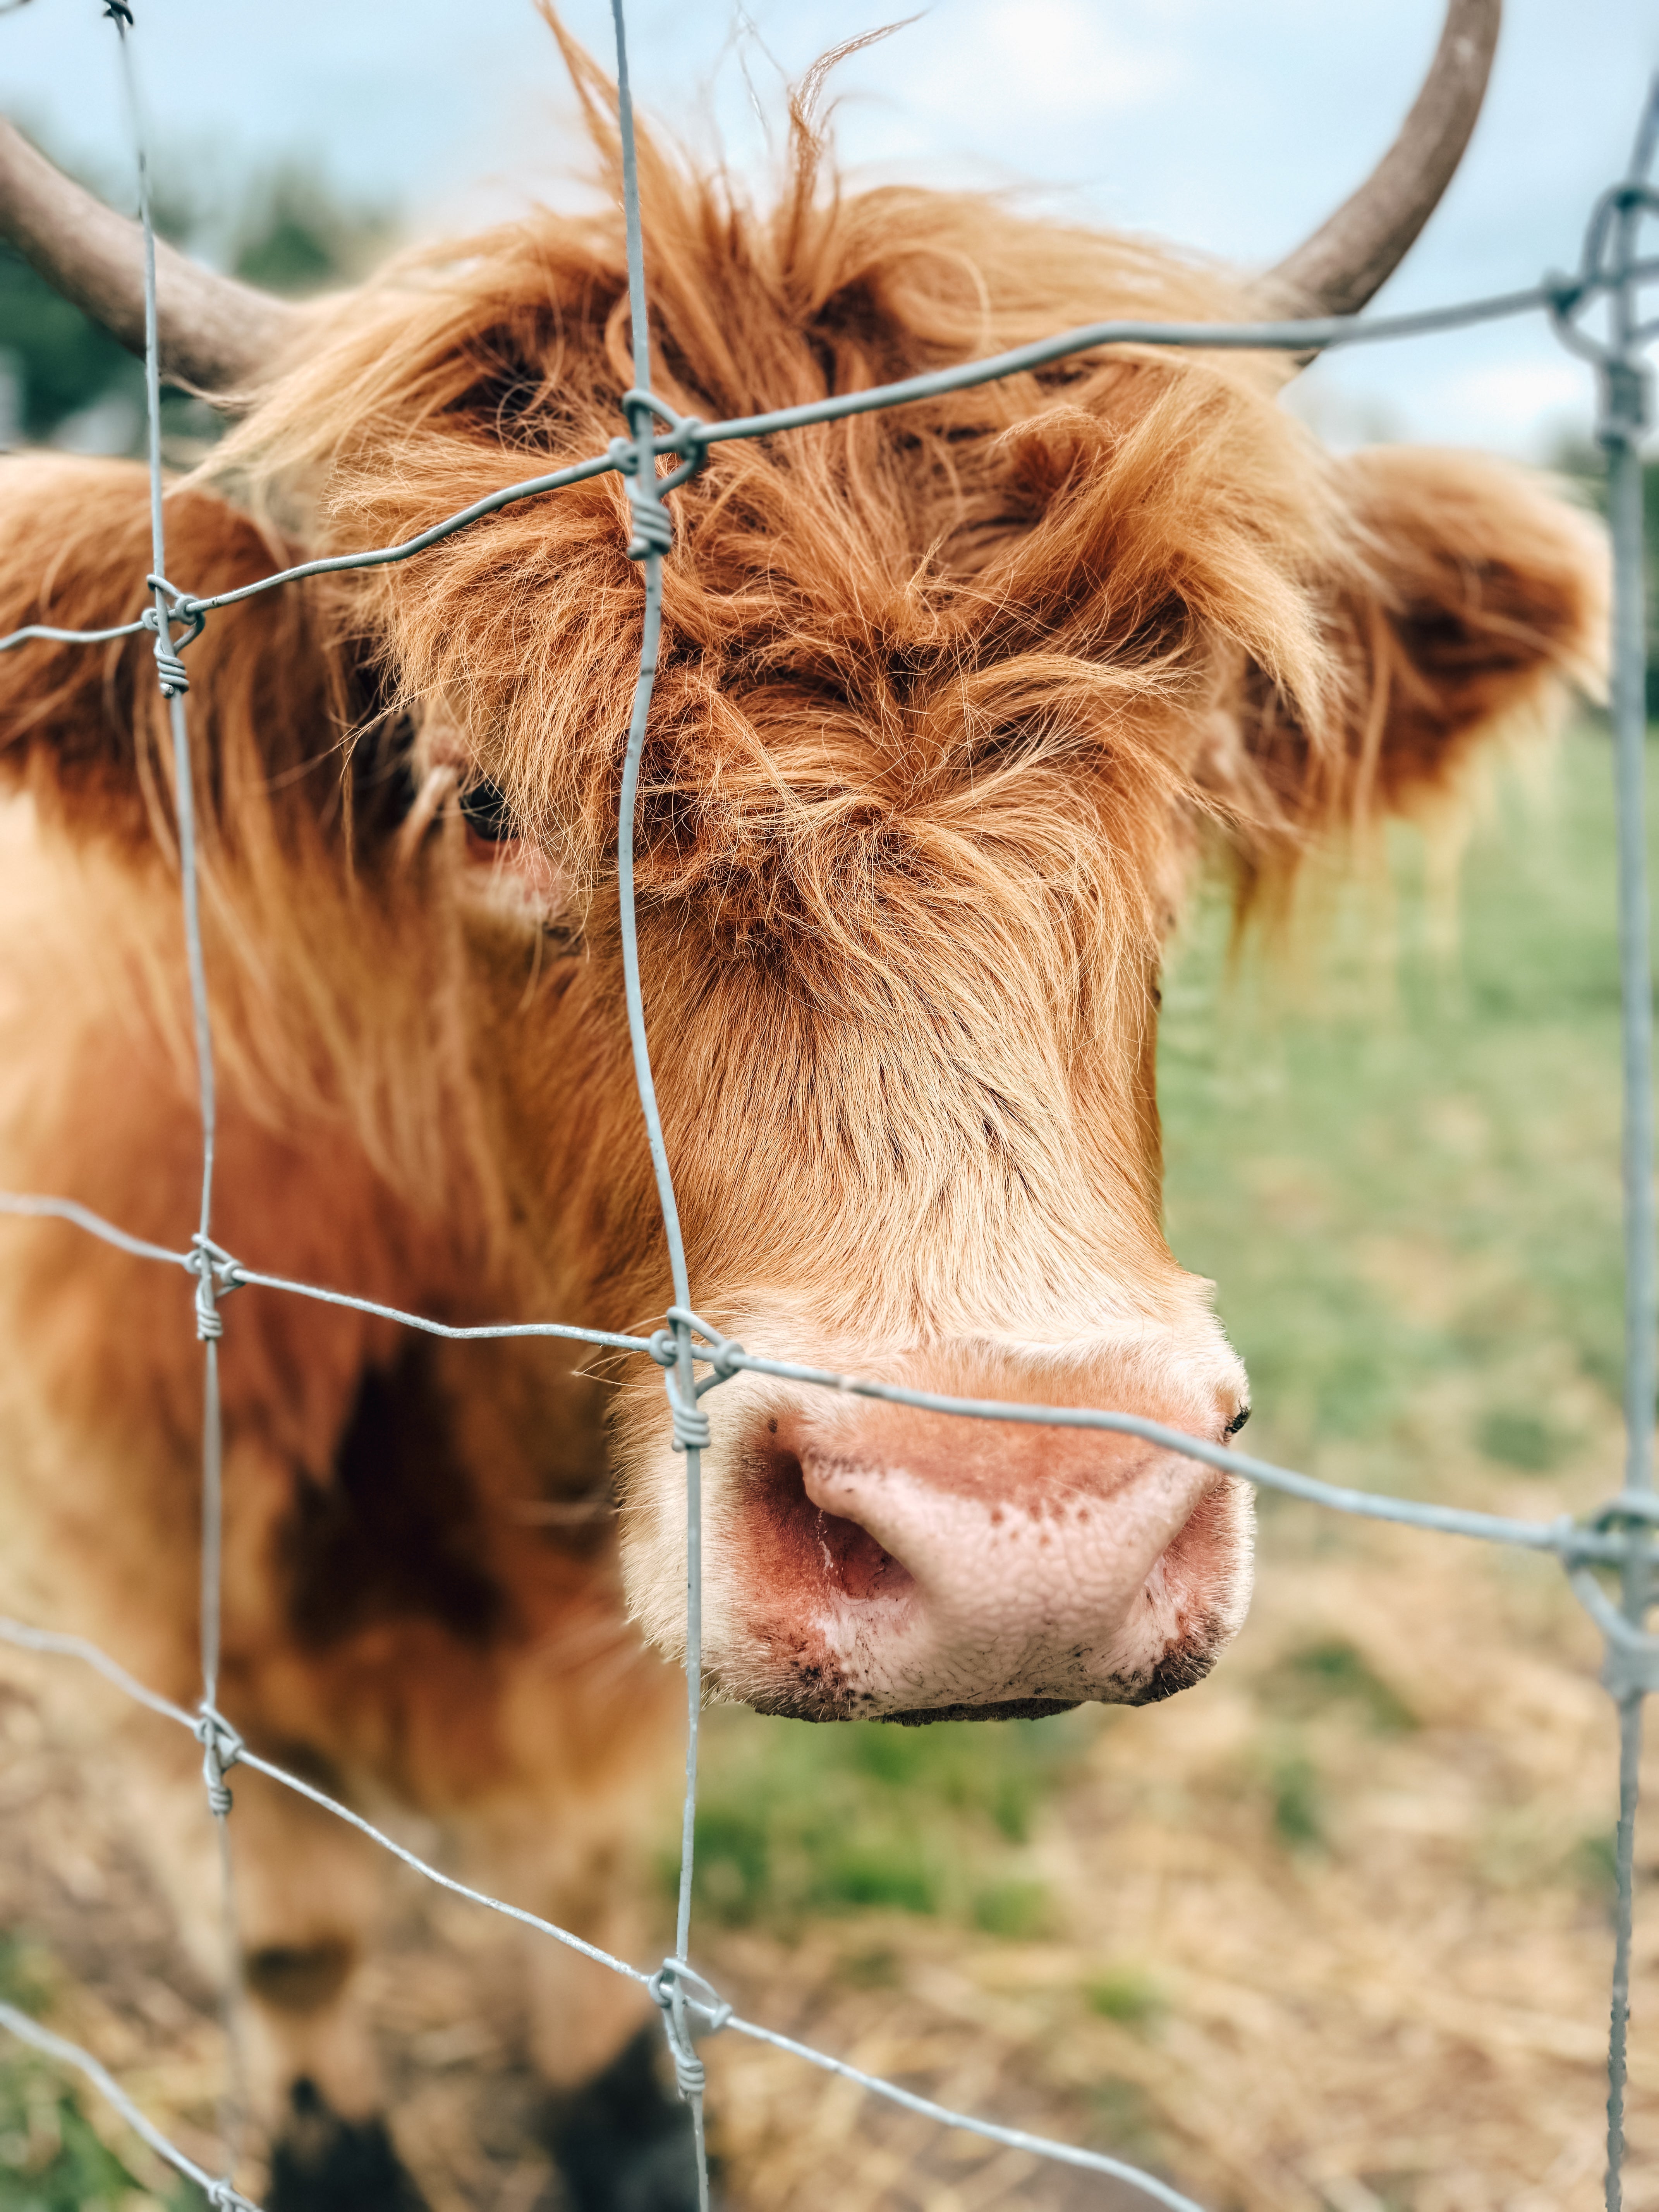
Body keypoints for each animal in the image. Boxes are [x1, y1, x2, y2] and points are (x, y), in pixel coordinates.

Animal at [0, 3, 1605, 2206]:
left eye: (1190, 786)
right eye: (479, 802)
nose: (1028, 1533)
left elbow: (595, 1896)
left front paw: (618, 2119)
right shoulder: (140, 1602)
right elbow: (287, 1931)